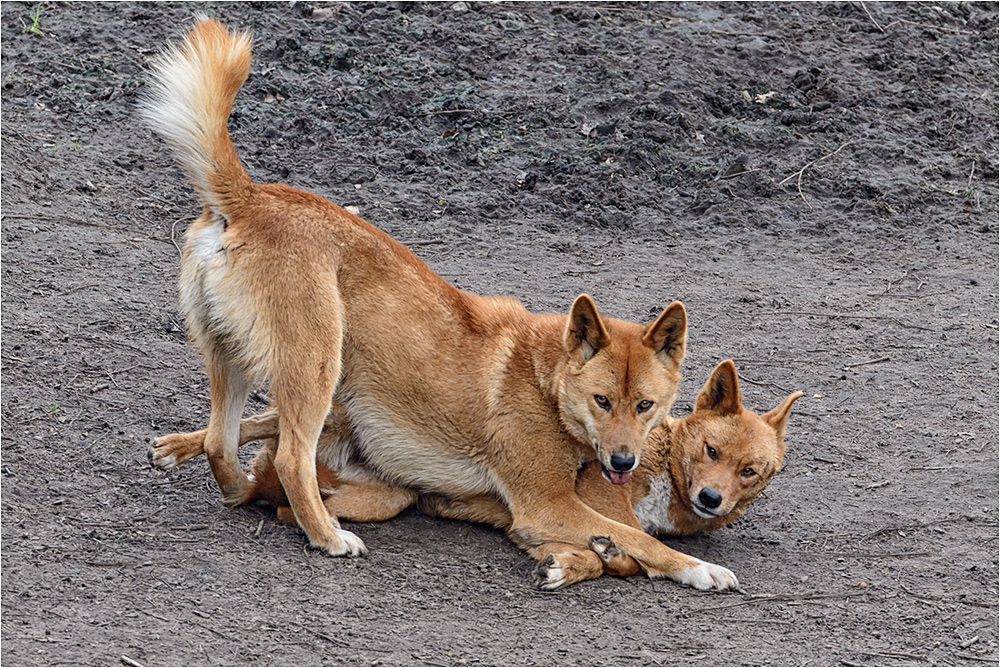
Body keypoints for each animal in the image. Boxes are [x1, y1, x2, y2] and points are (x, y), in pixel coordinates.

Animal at [146, 18, 736, 588]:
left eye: (646, 406)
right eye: (602, 401)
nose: (623, 460)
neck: (542, 379)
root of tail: (250, 198)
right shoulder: (544, 504)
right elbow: (639, 539)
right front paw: (699, 569)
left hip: (234, 361)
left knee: (222, 443)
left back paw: (237, 485)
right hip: (317, 368)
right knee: (292, 459)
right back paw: (327, 535)